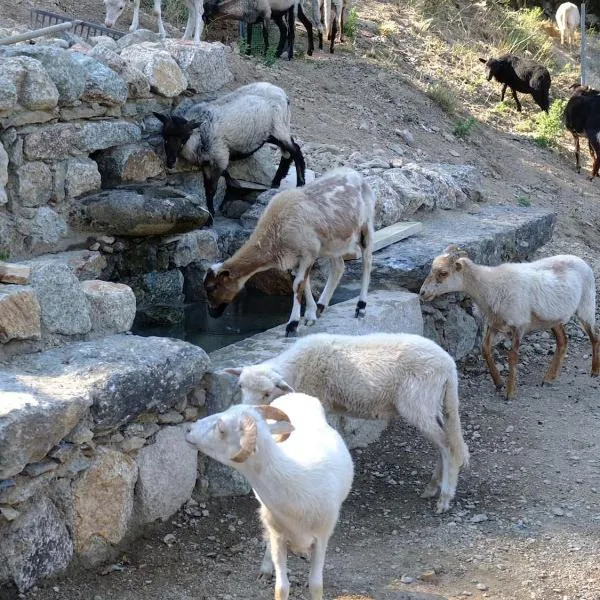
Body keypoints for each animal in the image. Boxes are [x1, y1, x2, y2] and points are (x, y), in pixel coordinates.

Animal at [155, 82, 304, 218]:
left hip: (278, 127)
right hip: (269, 133)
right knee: (288, 151)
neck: (199, 135)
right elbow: (207, 188)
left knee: (295, 150)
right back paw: (276, 182)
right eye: (164, 136)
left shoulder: (220, 159)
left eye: (184, 138)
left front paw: (211, 215)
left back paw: (300, 183)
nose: (170, 161)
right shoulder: (206, 163)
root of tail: (283, 94)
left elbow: (212, 189)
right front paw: (211, 212)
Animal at [184, 394, 352, 600]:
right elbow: (281, 587)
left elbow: (315, 585)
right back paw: (266, 569)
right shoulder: (279, 534)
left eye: (222, 429)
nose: (189, 429)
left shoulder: (322, 536)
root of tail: (297, 394)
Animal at [203, 169, 370, 336]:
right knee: (338, 267)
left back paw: (361, 307)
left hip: (365, 226)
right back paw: (321, 306)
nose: (212, 313)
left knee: (367, 262)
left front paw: (293, 324)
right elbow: (304, 283)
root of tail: (353, 172)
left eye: (212, 287)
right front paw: (310, 314)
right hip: (333, 242)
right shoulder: (296, 257)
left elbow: (298, 285)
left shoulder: (308, 253)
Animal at [420, 246, 596, 400]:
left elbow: (512, 357)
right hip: (553, 317)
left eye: (443, 273)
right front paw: (498, 382)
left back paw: (595, 372)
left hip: (586, 306)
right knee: (563, 341)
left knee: (594, 338)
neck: (489, 286)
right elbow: (485, 349)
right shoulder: (494, 323)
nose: (422, 293)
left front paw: (510, 393)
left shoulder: (518, 325)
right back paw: (549, 378)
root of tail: (581, 260)